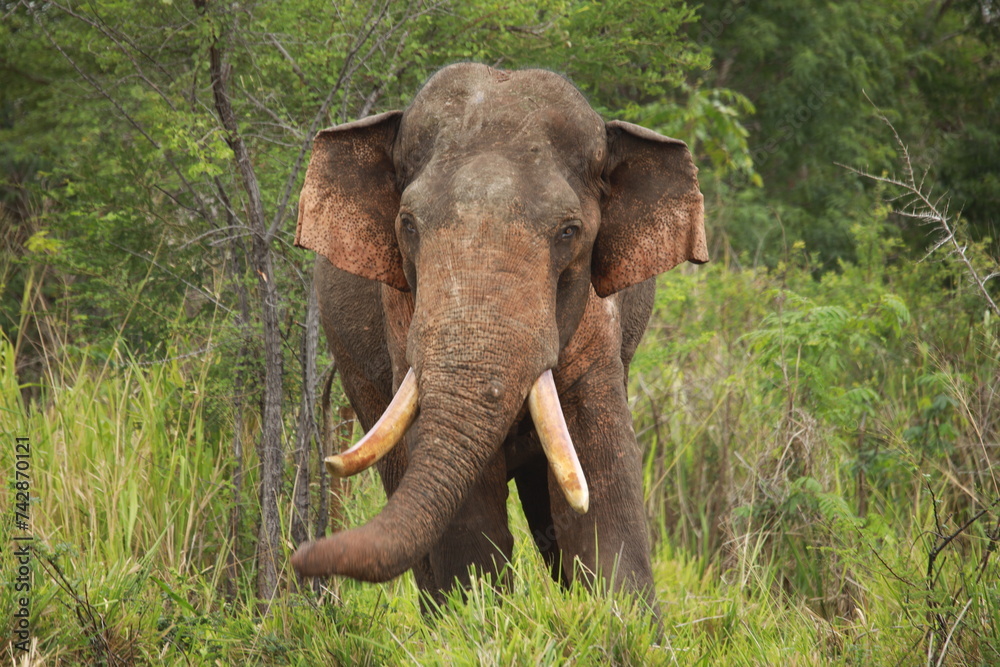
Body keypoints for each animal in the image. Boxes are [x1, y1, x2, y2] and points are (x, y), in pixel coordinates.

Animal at [290, 63, 707, 615]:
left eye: (570, 231)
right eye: (408, 224)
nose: (300, 559)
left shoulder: (599, 320)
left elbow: (601, 462)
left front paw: (623, 618)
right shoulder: (401, 311)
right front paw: (476, 617)